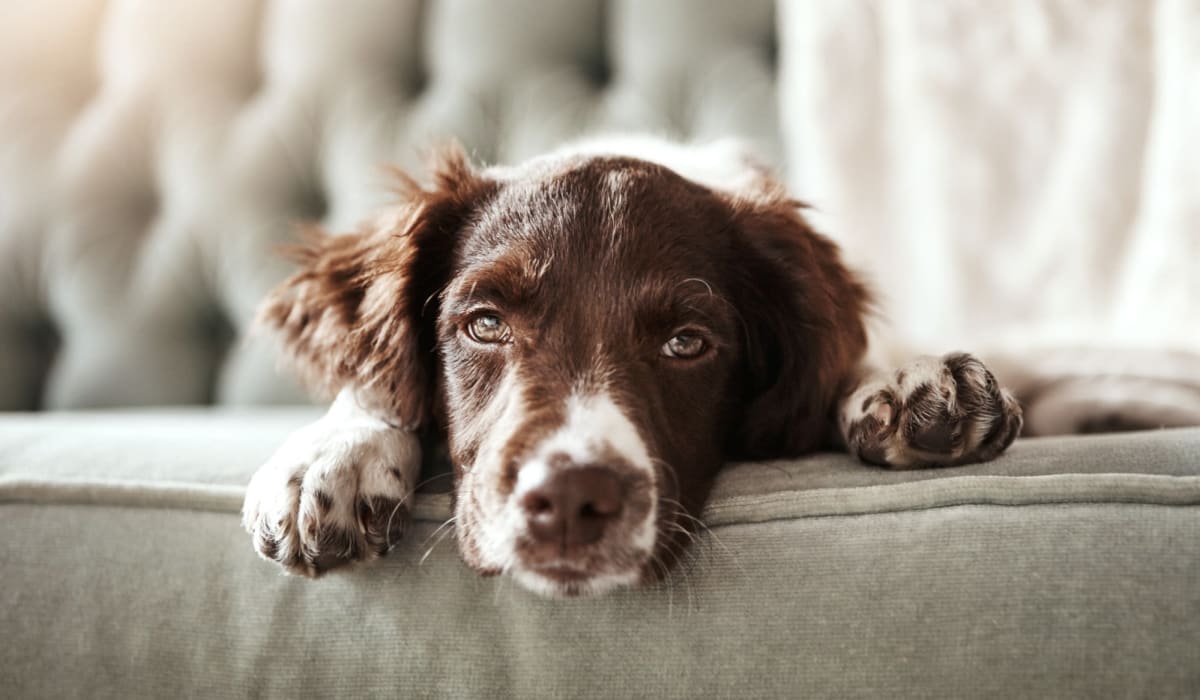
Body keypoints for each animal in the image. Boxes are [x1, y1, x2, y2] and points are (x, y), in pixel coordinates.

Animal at [241, 135, 1022, 597]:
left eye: (687, 343)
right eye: (485, 324)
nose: (568, 500)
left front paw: (910, 384)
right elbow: (374, 382)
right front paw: (332, 455)